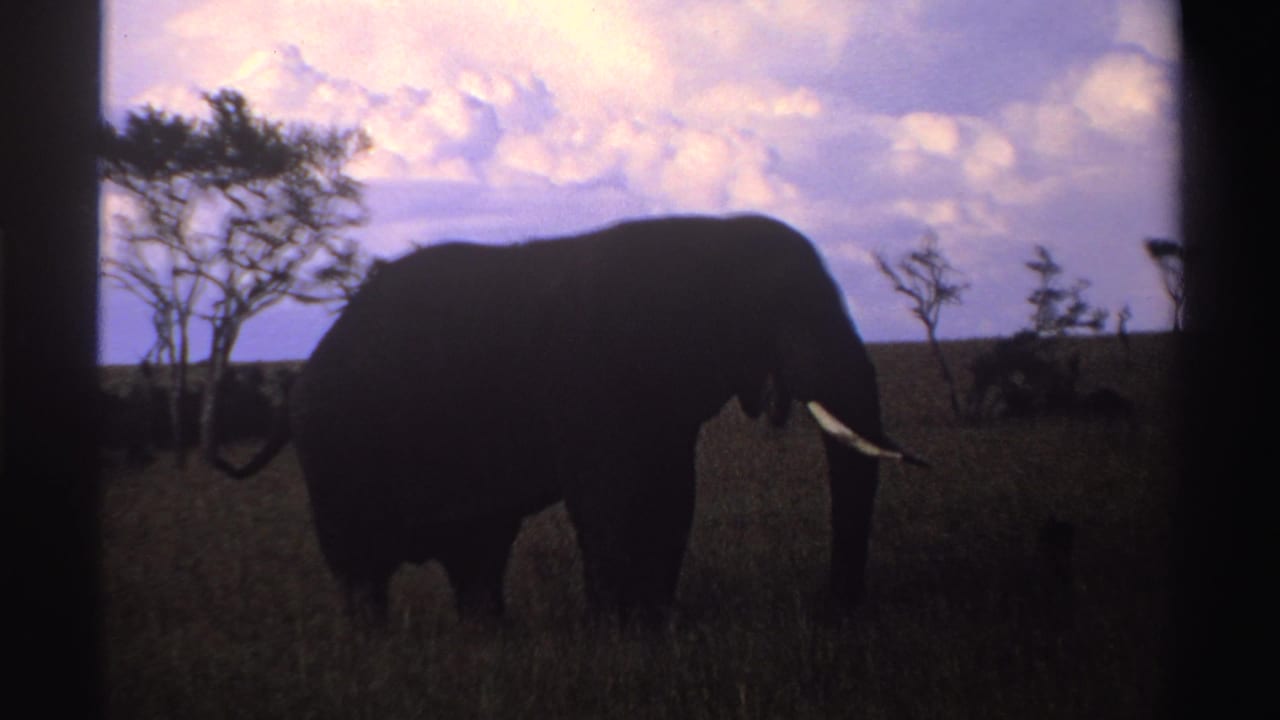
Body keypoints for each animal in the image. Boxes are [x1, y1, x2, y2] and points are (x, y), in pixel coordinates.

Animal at [216, 214, 922, 623]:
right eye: (781, 307)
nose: (837, 607)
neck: (703, 239)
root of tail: (302, 373)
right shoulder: (591, 376)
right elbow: (610, 497)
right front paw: (619, 630)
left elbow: (672, 494)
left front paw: (656, 620)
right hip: (338, 453)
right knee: (363, 568)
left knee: (479, 554)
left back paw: (489, 637)